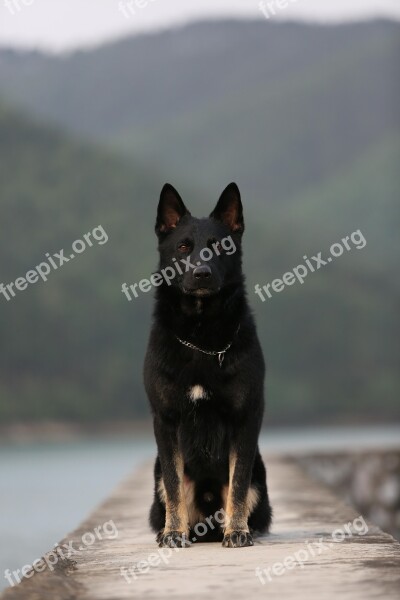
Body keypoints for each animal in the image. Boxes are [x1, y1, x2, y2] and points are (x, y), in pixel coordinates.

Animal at [144, 183, 272, 548]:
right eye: (184, 247)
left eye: (219, 247)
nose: (202, 274)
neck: (201, 339)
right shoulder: (166, 421)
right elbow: (174, 484)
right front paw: (174, 533)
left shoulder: (245, 419)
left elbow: (238, 482)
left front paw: (238, 531)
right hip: (157, 475)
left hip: (260, 476)